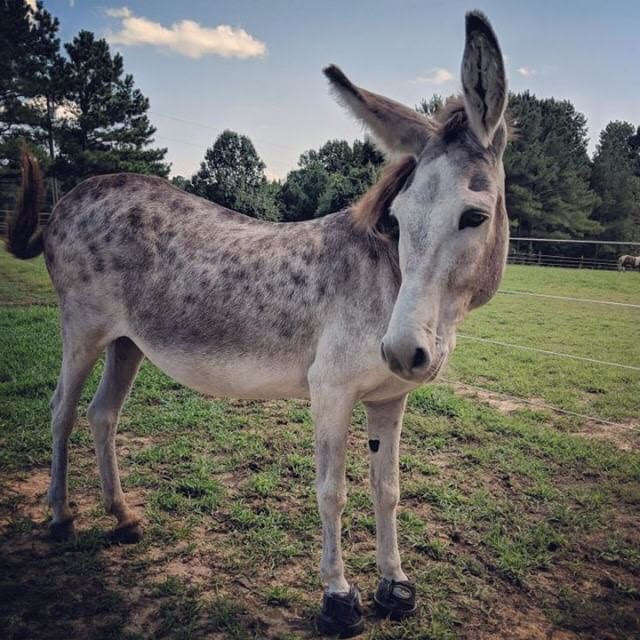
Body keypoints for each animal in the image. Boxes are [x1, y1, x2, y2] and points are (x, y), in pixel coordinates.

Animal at [6, 11, 509, 637]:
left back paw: (121, 518)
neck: (386, 279)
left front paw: (395, 587)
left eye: (474, 216)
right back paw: (59, 517)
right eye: (396, 218)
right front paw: (339, 599)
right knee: (62, 411)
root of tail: (71, 197)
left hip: (128, 342)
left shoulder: (390, 398)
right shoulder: (330, 391)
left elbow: (388, 489)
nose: (401, 351)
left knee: (103, 415)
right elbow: (333, 492)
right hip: (83, 331)